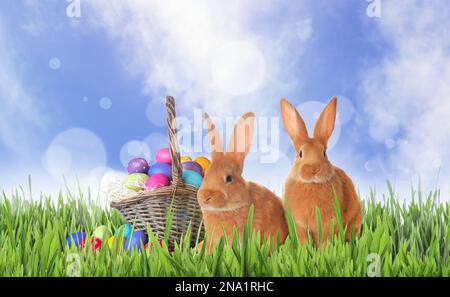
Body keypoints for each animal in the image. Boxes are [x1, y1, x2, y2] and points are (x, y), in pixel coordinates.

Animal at [282, 97, 362, 245]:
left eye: (324, 153)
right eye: (300, 153)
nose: (314, 169)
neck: (312, 184)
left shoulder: (329, 223)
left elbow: (325, 240)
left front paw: (323, 250)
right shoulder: (299, 225)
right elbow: (303, 240)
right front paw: (305, 249)